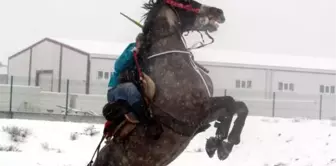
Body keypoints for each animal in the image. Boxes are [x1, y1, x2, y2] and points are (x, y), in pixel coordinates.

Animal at [93, 0, 248, 165]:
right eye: (186, 2)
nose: (218, 11)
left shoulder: (205, 115)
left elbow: (241, 107)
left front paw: (226, 144)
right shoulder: (197, 113)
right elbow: (230, 103)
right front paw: (218, 141)